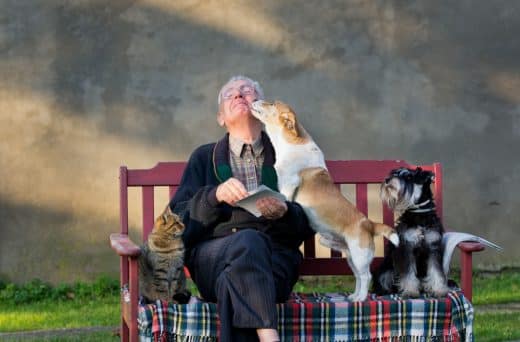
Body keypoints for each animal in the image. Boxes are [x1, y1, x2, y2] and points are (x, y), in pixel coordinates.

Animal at [251, 100, 398, 300]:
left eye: (272, 103)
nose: (254, 100)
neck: (290, 144)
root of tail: (370, 224)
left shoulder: (288, 187)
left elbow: (285, 199)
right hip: (350, 256)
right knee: (358, 277)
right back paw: (354, 297)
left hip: (359, 255)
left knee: (366, 276)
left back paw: (360, 298)